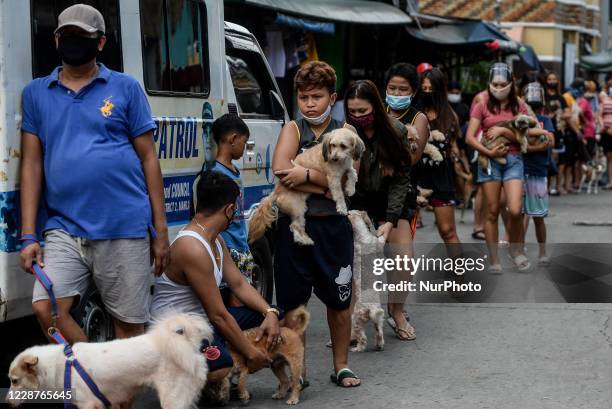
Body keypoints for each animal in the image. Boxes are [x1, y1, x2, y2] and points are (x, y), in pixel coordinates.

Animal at [5, 312, 213, 408]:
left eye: (14, 381)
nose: (6, 402)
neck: (63, 366)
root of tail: (186, 341)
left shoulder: (89, 405)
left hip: (173, 400)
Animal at [346, 210, 384, 350]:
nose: (346, 211)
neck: (362, 236)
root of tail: (371, 308)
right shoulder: (377, 243)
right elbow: (379, 239)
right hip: (378, 320)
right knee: (379, 333)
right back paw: (379, 345)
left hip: (356, 319)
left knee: (363, 339)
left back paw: (357, 348)